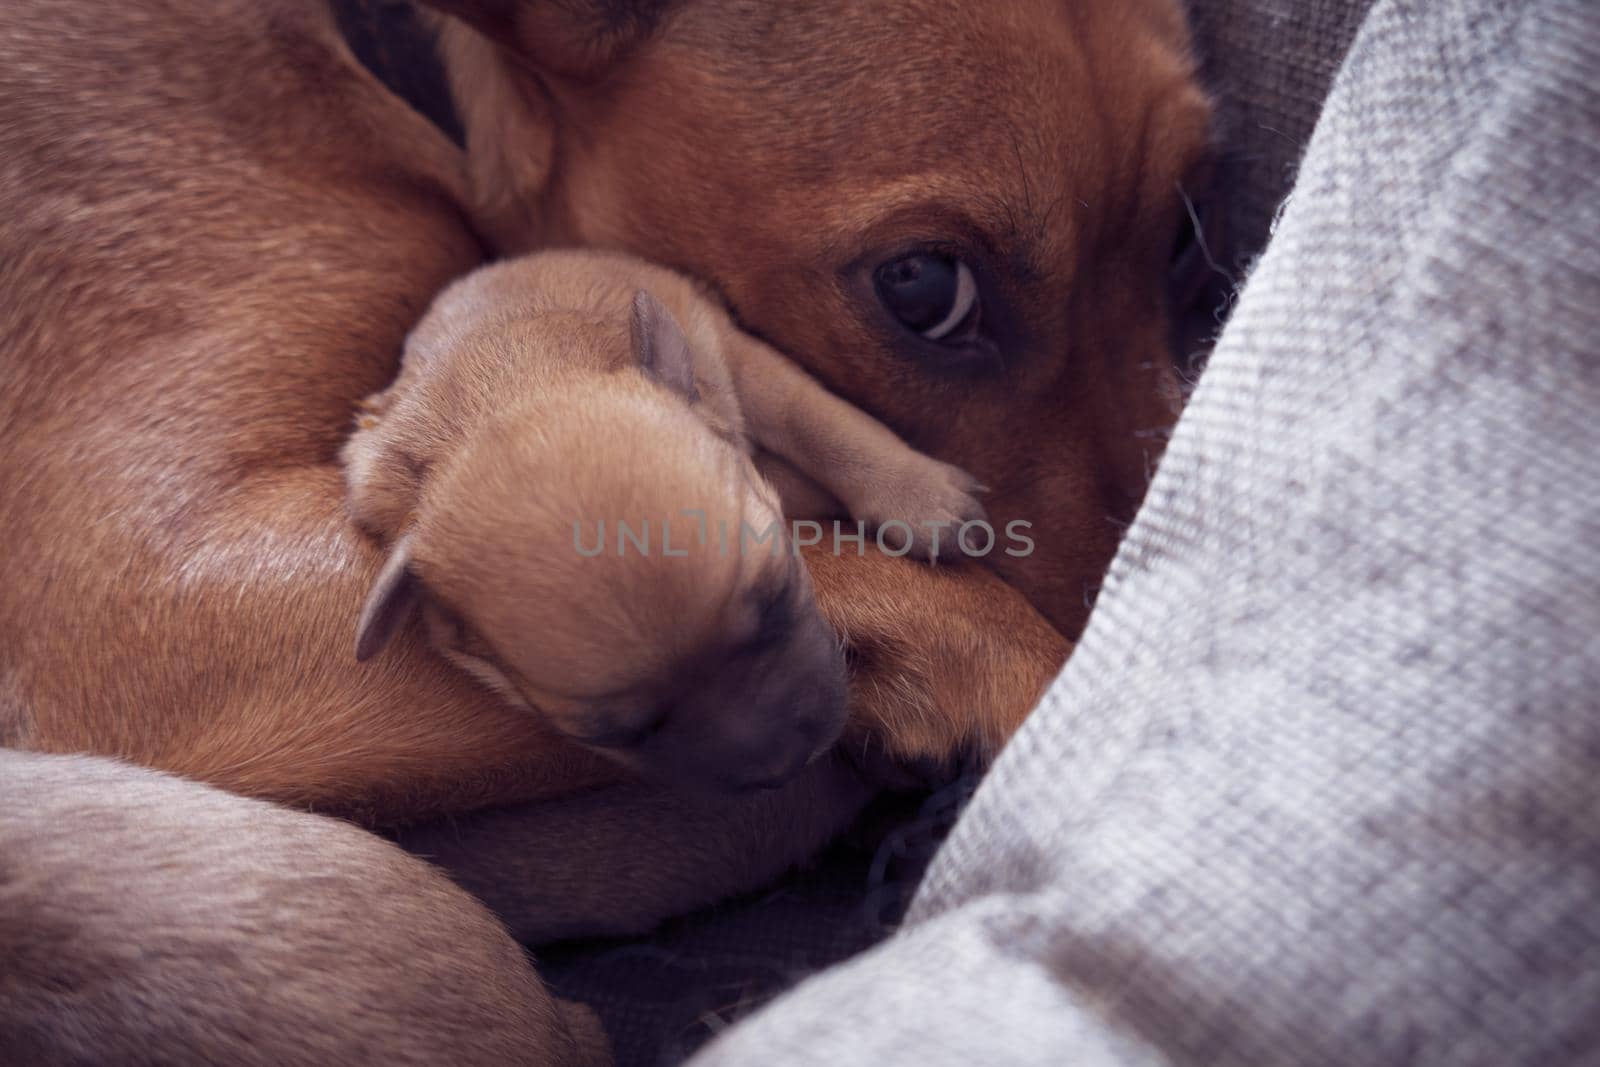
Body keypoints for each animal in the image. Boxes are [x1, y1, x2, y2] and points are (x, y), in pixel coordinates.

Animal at [344, 247, 979, 783]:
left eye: (779, 596)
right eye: (619, 734)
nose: (784, 761)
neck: (511, 386)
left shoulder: (739, 357)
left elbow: (819, 420)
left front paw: (923, 497)